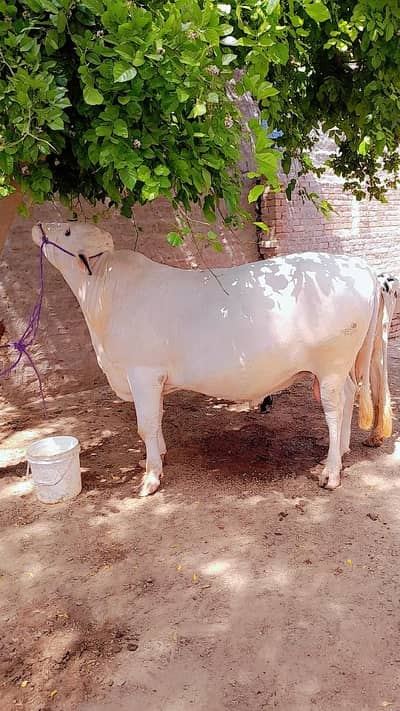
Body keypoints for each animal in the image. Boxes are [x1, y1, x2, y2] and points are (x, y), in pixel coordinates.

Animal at [32, 222, 398, 497]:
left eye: (67, 230)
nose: (39, 226)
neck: (105, 294)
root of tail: (359, 266)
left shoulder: (142, 372)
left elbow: (145, 424)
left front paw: (150, 478)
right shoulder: (155, 378)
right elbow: (158, 419)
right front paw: (159, 457)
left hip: (331, 363)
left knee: (335, 409)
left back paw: (331, 471)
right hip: (338, 367)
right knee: (349, 394)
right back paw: (341, 452)